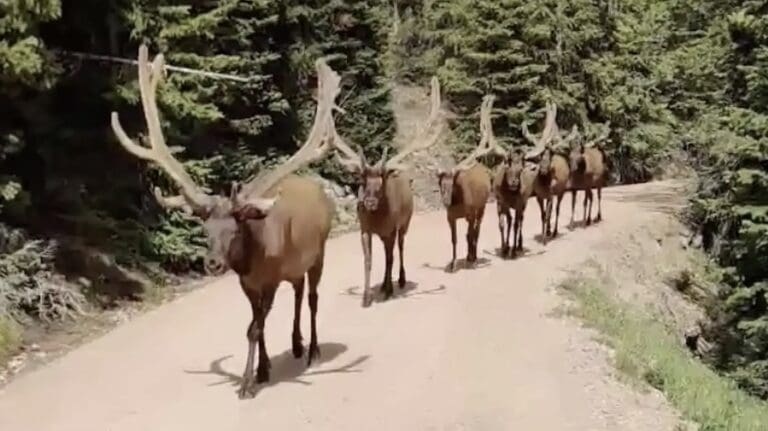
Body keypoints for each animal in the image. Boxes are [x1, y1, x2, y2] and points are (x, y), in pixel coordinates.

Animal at [109, 44, 342, 399]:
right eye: (205, 230)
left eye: (234, 230)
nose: (213, 264)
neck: (254, 259)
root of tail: (319, 191)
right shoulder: (248, 283)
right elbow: (256, 326)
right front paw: (263, 370)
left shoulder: (270, 279)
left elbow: (254, 328)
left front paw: (246, 383)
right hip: (295, 266)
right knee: (299, 291)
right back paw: (297, 344)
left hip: (319, 253)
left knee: (313, 297)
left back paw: (313, 350)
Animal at [331, 77, 446, 307]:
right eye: (362, 180)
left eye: (381, 182)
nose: (369, 203)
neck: (377, 219)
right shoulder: (364, 229)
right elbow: (368, 261)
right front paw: (366, 297)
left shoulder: (391, 229)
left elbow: (390, 257)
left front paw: (388, 290)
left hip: (405, 222)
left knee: (399, 248)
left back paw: (398, 281)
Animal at [436, 95, 499, 271]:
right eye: (440, 183)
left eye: (452, 183)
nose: (446, 201)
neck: (458, 203)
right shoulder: (450, 217)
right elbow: (455, 239)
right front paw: (453, 263)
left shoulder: (470, 213)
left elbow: (470, 234)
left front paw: (471, 258)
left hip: (482, 206)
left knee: (477, 230)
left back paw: (473, 256)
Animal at [522, 102, 578, 243]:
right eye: (540, 156)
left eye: (550, 155)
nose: (542, 169)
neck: (543, 184)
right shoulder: (539, 196)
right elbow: (543, 215)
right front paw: (544, 234)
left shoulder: (551, 195)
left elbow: (548, 214)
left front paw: (544, 239)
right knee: (551, 211)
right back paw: (549, 230)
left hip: (561, 191)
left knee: (557, 209)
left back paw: (554, 231)